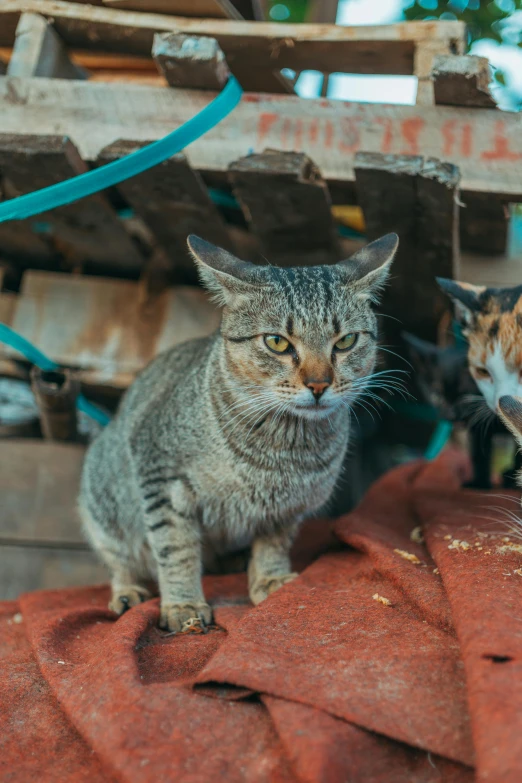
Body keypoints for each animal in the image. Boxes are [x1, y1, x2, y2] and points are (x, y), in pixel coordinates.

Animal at [79, 231, 396, 632]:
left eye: (345, 342)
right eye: (277, 342)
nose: (319, 384)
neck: (281, 447)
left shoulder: (288, 506)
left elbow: (274, 543)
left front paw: (270, 579)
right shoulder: (160, 476)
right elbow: (175, 547)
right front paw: (183, 602)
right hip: (102, 499)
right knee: (120, 557)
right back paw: (127, 590)